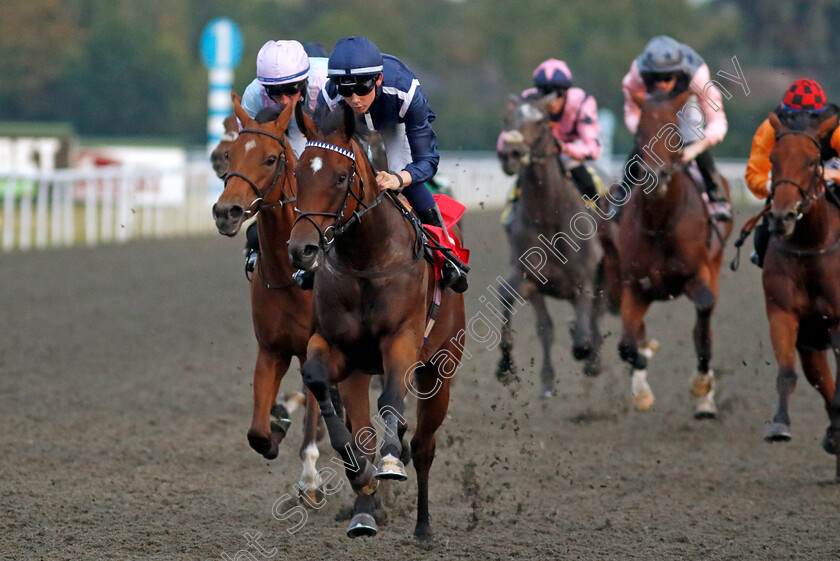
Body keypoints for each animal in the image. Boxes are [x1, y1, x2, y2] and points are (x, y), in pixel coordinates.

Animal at [210, 96, 324, 504]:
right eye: (231, 155)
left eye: (271, 158)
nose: (225, 212)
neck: (292, 277)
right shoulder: (271, 349)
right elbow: (257, 432)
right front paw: (276, 425)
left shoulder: (314, 349)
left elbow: (313, 423)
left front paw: (310, 480)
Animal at [288, 104, 466, 540]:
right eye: (298, 173)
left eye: (340, 176)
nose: (301, 249)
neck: (366, 260)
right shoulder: (336, 346)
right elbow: (318, 380)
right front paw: (359, 472)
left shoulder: (401, 340)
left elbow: (390, 400)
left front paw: (389, 460)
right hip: (360, 372)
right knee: (366, 428)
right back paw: (363, 514)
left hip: (440, 370)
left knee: (424, 446)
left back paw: (423, 527)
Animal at [492, 95, 604, 398]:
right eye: (507, 119)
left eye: (541, 121)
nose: (511, 154)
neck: (549, 217)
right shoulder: (530, 279)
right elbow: (542, 325)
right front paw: (511, 368)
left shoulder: (584, 280)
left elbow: (584, 332)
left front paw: (585, 351)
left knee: (595, 317)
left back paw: (593, 359)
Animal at [604, 91, 736, 416]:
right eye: (639, 134)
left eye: (674, 134)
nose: (656, 175)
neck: (660, 224)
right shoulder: (635, 286)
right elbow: (627, 344)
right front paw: (641, 378)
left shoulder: (697, 275)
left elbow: (703, 319)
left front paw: (702, 386)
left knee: (704, 326)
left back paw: (705, 398)